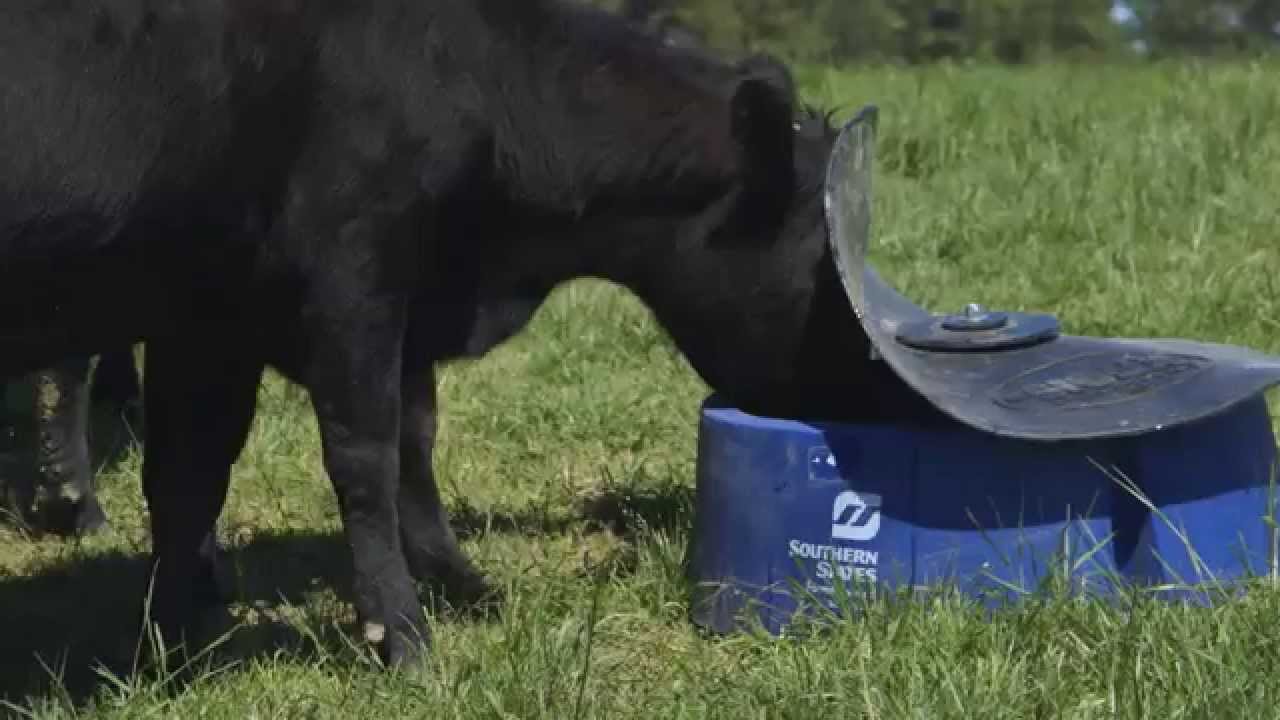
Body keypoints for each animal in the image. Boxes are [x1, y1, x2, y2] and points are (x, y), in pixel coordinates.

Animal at [0, 0, 919, 669]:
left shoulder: (215, 310)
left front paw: (179, 635)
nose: (886, 387)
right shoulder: (353, 271)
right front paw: (400, 633)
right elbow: (367, 455)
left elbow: (203, 472)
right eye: (825, 261)